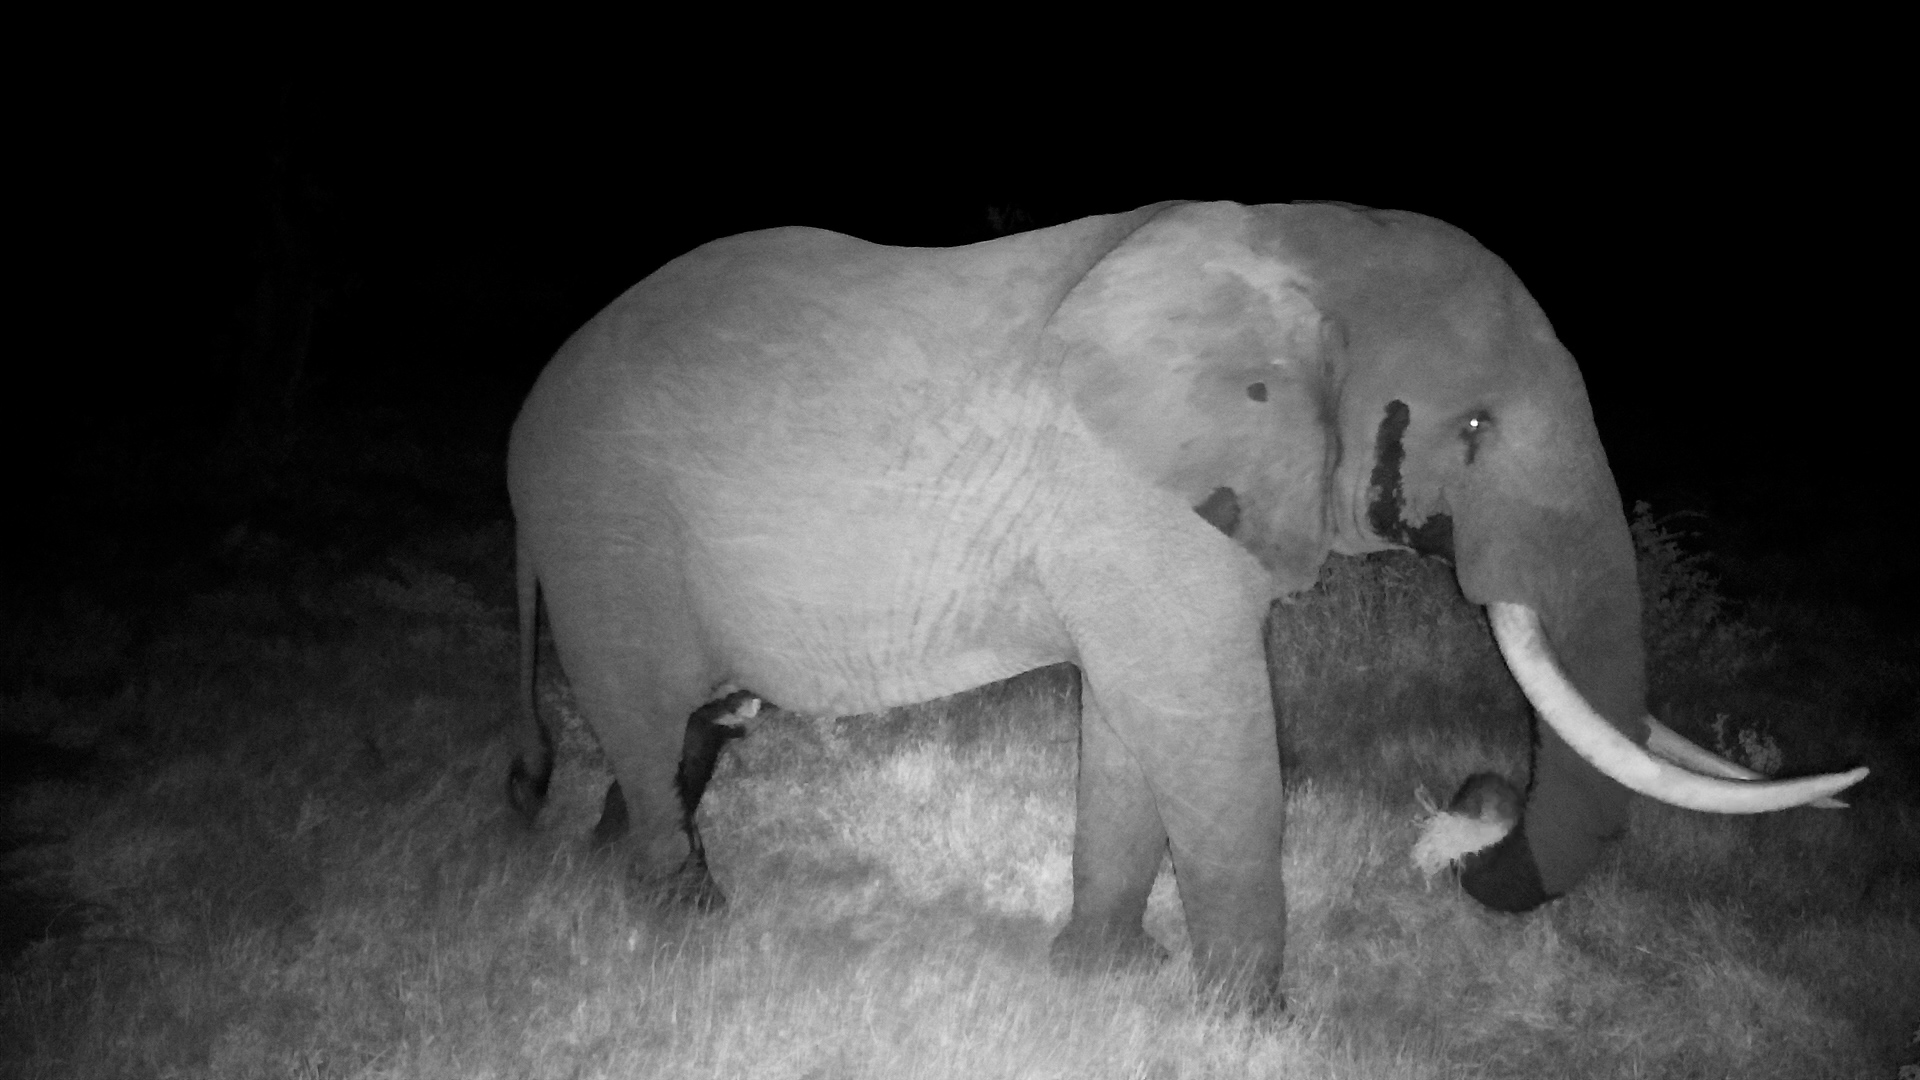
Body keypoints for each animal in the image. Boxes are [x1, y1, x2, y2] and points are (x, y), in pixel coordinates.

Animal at [504, 200, 1865, 1006]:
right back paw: (686, 920)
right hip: (607, 525)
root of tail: (527, 420)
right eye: (1476, 428)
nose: (1469, 832)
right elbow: (1207, 723)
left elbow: (1132, 723)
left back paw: (608, 868)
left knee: (690, 724)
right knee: (646, 712)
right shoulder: (1129, 499)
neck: (1296, 247)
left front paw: (1100, 979)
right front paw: (1251, 1024)